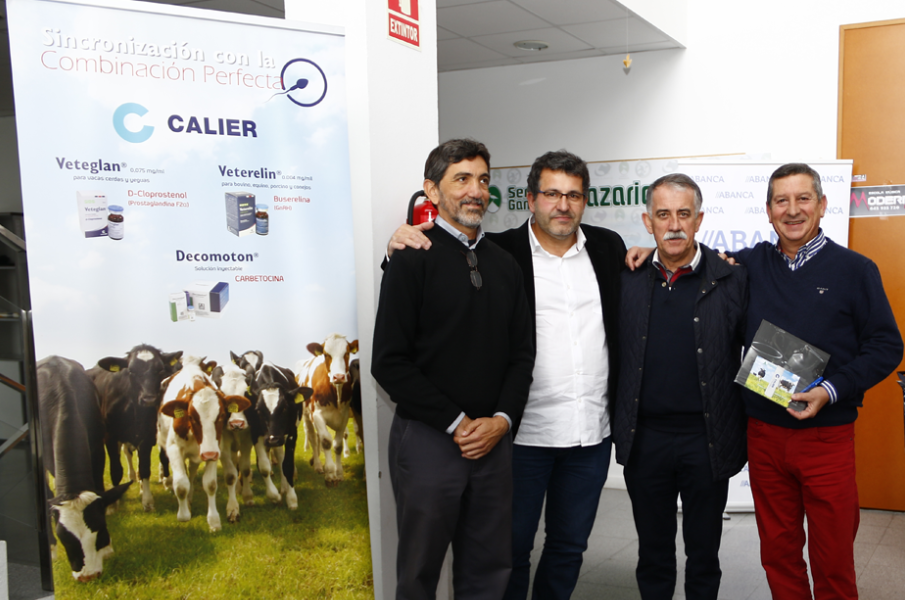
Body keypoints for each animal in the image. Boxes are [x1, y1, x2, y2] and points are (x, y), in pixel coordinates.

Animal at [37, 356, 131, 580]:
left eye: (100, 529)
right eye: (63, 536)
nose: (88, 575)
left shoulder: (97, 447)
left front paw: (108, 549)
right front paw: (52, 548)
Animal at [88, 346, 182, 510]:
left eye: (160, 370)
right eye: (131, 371)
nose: (149, 399)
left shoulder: (147, 436)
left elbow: (145, 468)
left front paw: (148, 500)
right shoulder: (110, 437)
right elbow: (116, 469)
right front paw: (113, 504)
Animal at [155, 356, 247, 528]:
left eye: (222, 415)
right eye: (191, 416)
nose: (208, 454)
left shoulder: (214, 449)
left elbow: (210, 484)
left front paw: (214, 520)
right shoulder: (174, 448)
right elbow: (181, 484)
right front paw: (183, 515)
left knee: (191, 471)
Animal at [252, 364, 312, 508]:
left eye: (285, 407)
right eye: (258, 410)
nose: (273, 440)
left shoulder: (292, 433)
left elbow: (287, 465)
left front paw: (291, 499)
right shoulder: (255, 433)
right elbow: (264, 467)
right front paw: (274, 496)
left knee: (281, 458)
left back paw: (285, 487)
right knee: (278, 455)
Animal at [294, 332, 354, 488]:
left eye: (346, 353)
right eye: (326, 354)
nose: (338, 376)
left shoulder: (344, 416)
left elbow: (338, 445)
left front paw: (339, 473)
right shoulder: (317, 415)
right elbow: (326, 441)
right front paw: (330, 474)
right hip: (307, 416)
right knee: (313, 437)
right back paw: (317, 465)